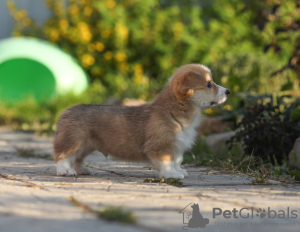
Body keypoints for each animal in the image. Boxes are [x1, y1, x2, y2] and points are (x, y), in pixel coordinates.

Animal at [53, 64, 230, 179]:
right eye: (208, 84)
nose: (228, 91)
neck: (174, 112)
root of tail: (66, 112)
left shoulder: (176, 146)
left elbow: (177, 161)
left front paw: (180, 171)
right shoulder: (161, 146)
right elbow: (167, 162)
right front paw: (171, 175)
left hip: (86, 145)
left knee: (76, 159)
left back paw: (81, 170)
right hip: (74, 141)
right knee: (63, 156)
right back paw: (65, 171)